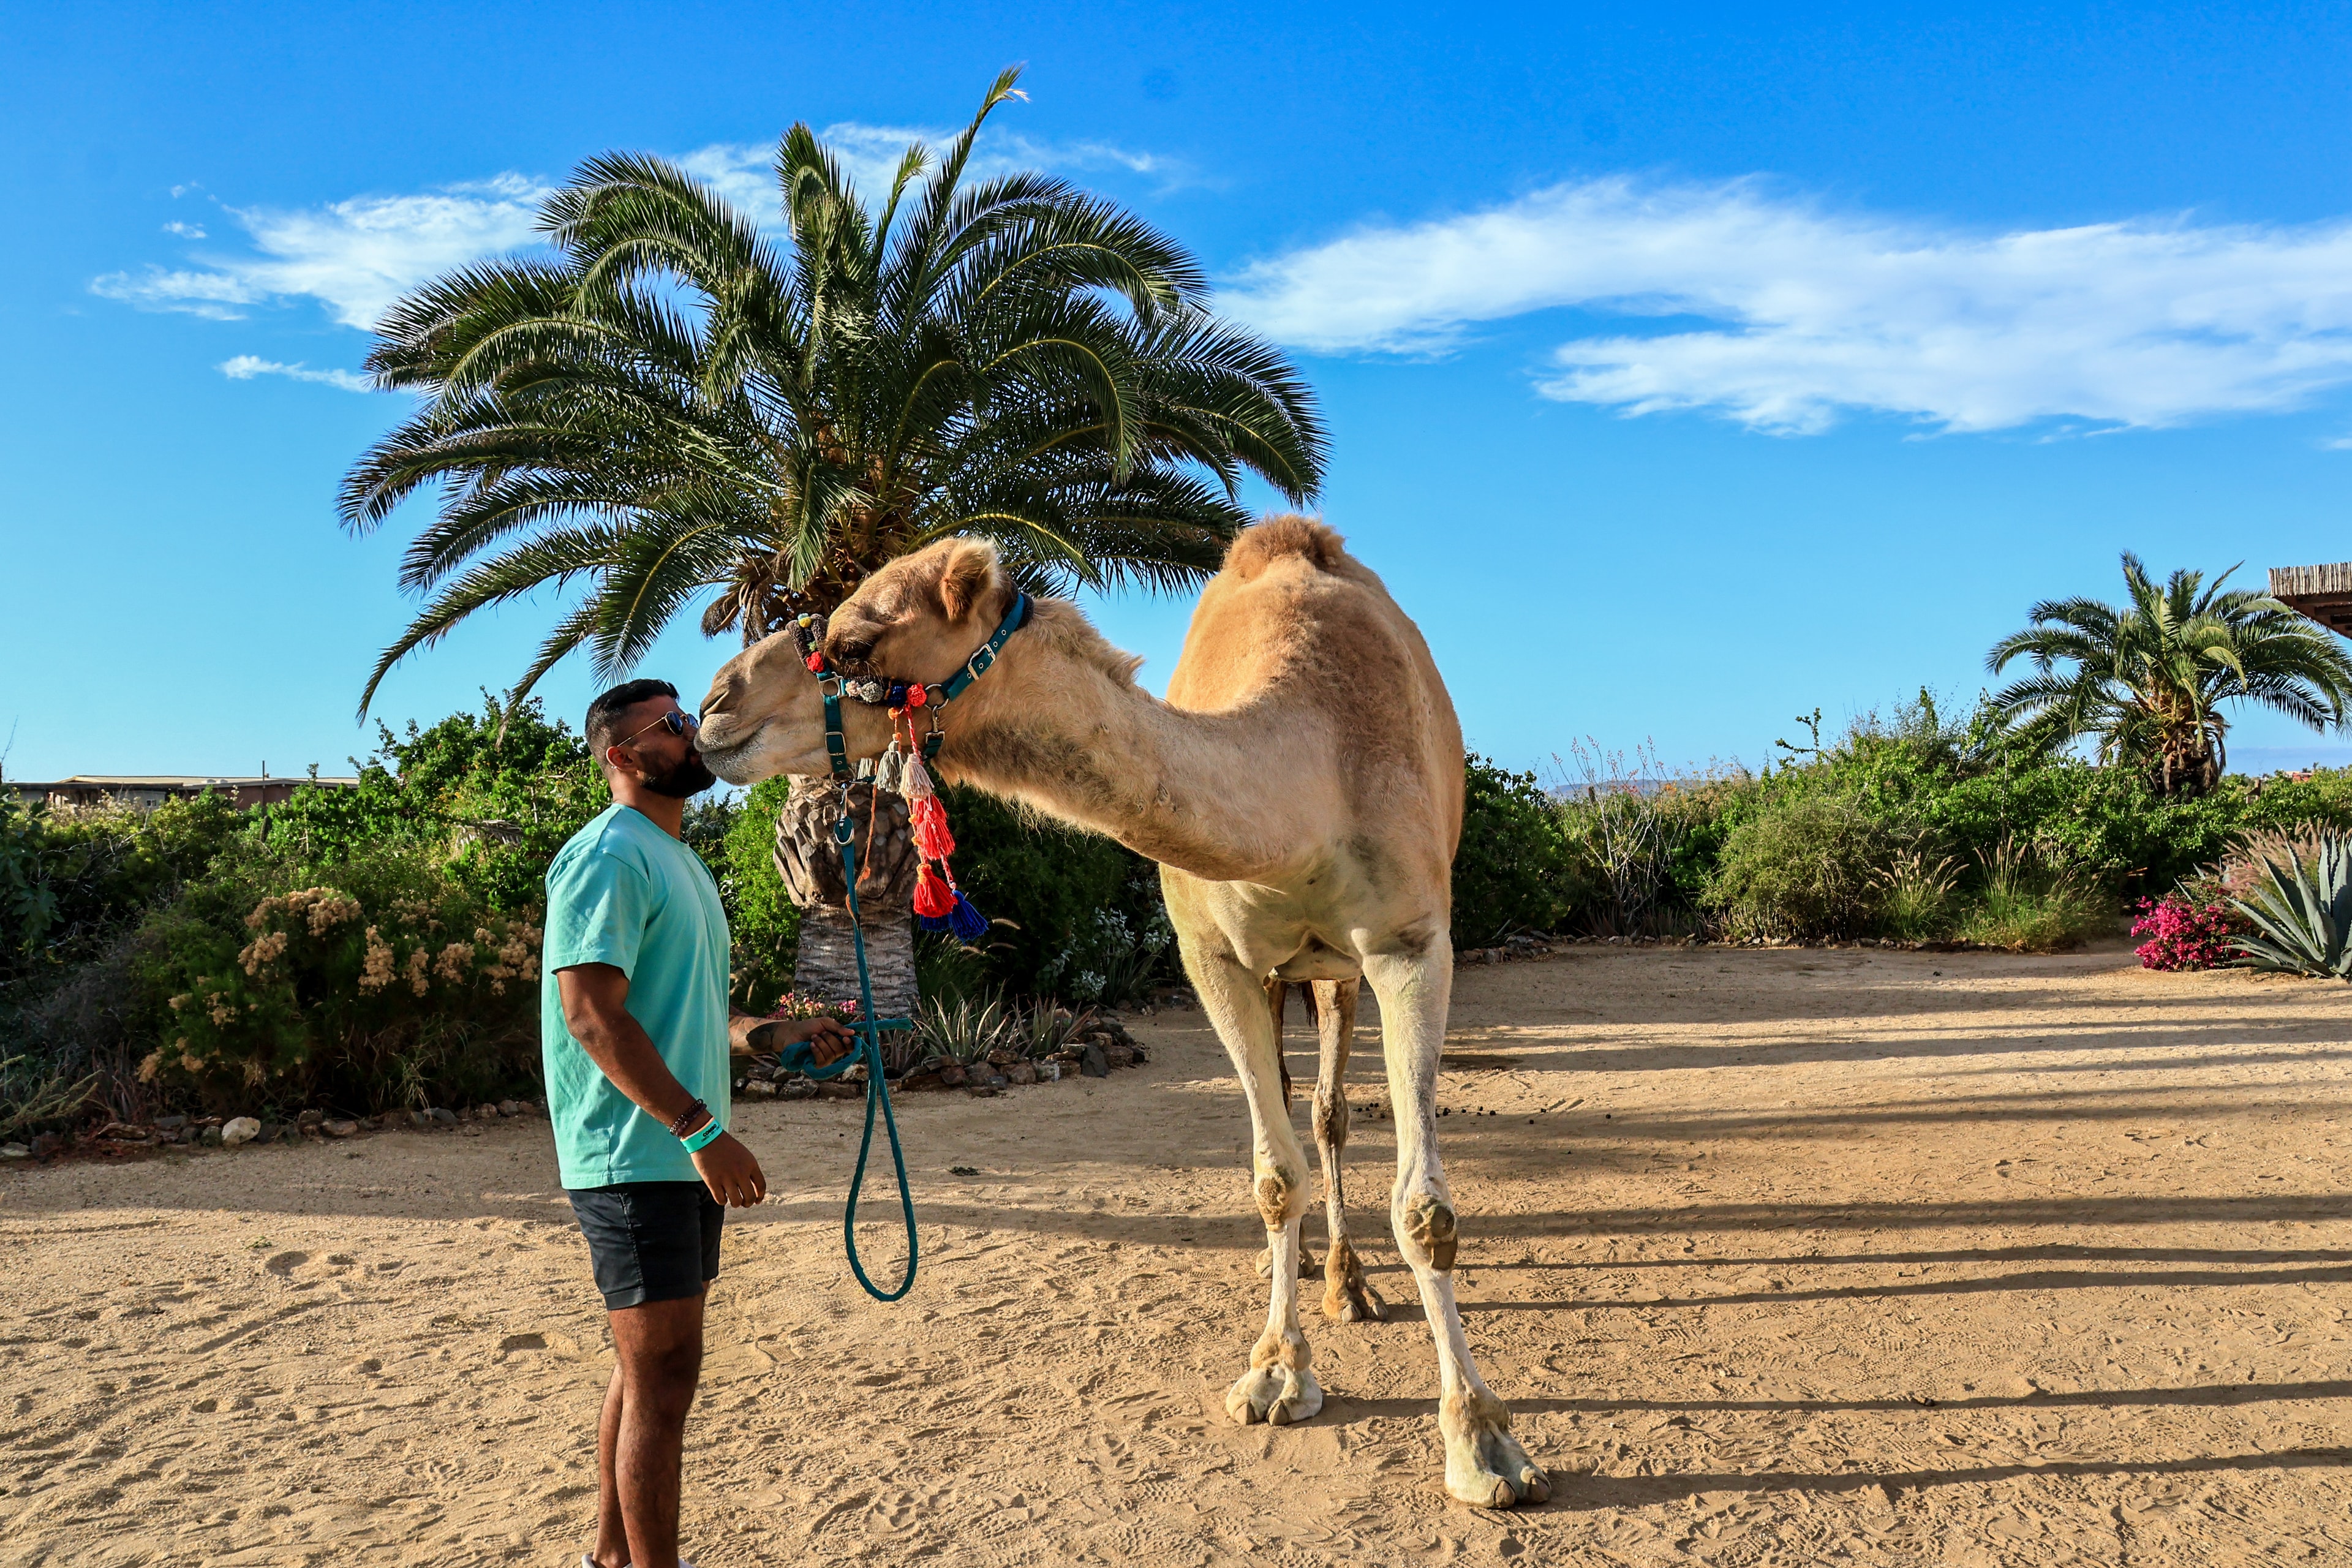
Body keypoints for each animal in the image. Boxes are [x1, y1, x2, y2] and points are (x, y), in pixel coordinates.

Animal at [694, 517, 1548, 1508]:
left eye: (857, 642)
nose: (713, 707)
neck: (1309, 782)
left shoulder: (1413, 943)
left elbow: (1424, 1212)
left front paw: (1484, 1441)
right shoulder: (1211, 956)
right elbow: (1273, 1177)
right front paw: (1276, 1372)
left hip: (1337, 971)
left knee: (1331, 1112)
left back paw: (1347, 1282)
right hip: (1280, 972)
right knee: (1292, 1111)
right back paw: (1295, 1266)